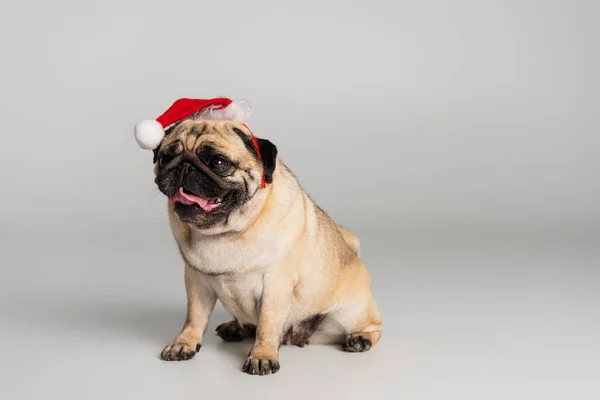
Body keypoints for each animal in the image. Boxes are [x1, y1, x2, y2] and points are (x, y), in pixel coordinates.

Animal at [152, 118, 382, 376]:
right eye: (165, 159)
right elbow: (194, 317)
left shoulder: (275, 285)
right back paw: (236, 327)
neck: (225, 232)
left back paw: (360, 339)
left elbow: (267, 324)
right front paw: (184, 343)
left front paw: (262, 356)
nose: (184, 167)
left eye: (219, 163)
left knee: (374, 326)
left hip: (351, 314)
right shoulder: (196, 282)